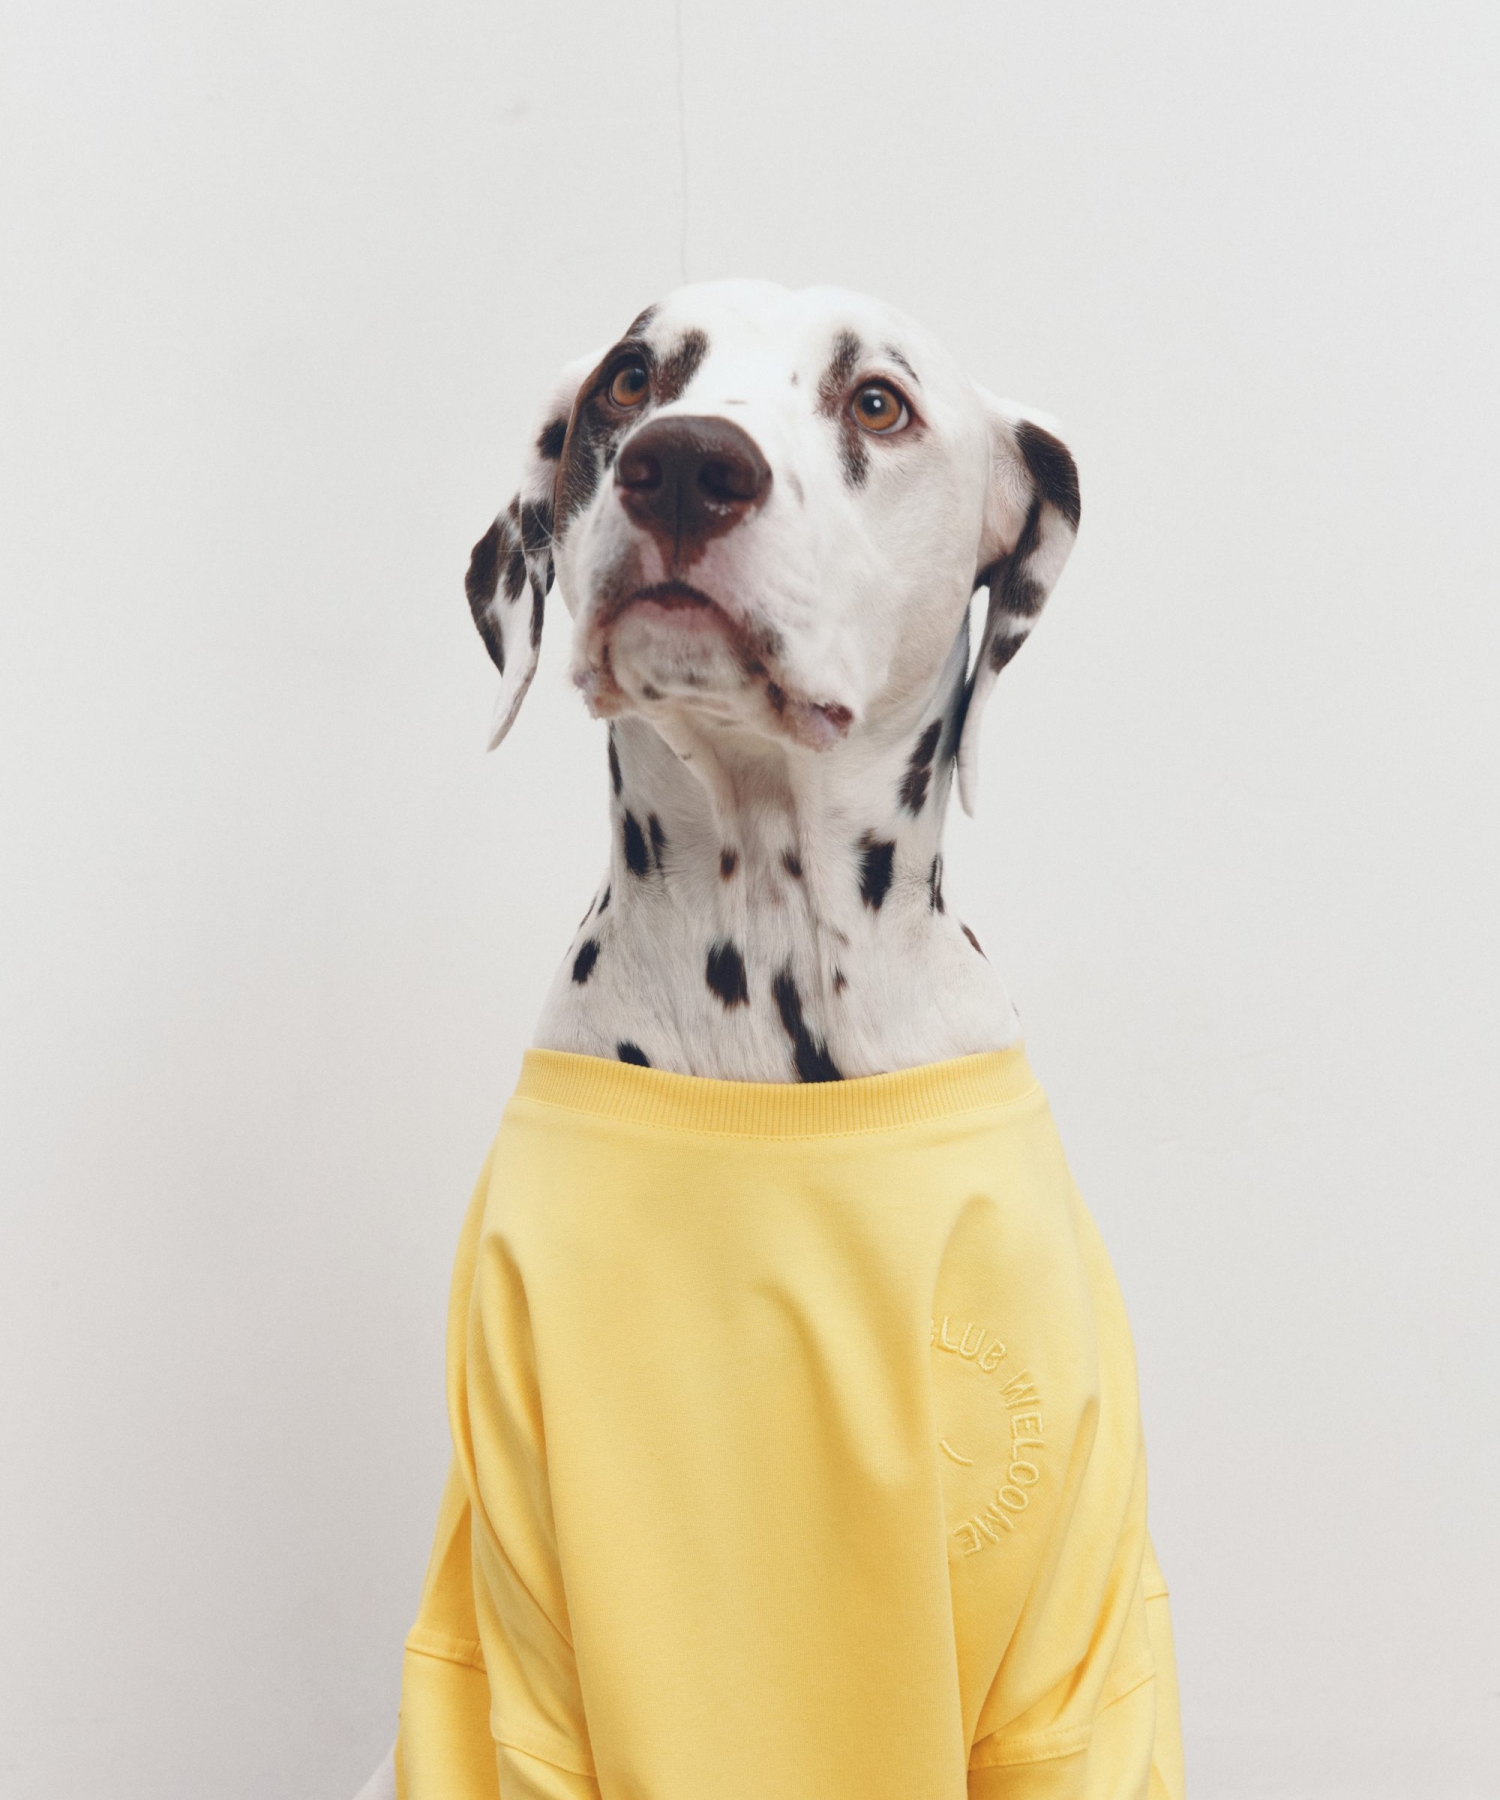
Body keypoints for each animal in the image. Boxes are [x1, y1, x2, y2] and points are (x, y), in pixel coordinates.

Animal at [353, 280, 1180, 1800]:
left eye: (878, 403)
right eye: (631, 380)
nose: (685, 464)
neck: (772, 1023)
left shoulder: (1074, 1662)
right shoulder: (518, 1660)